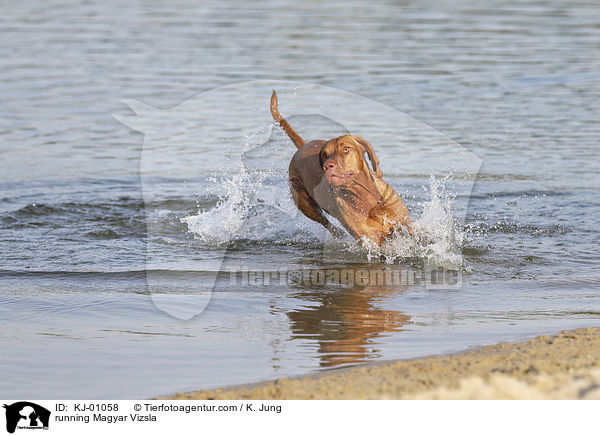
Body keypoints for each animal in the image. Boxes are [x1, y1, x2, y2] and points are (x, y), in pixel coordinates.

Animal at [270, 90, 410, 245]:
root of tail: (303, 146)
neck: (367, 198)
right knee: (325, 222)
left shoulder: (408, 224)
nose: (327, 166)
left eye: (346, 149)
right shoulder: (371, 242)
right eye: (325, 155)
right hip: (305, 204)